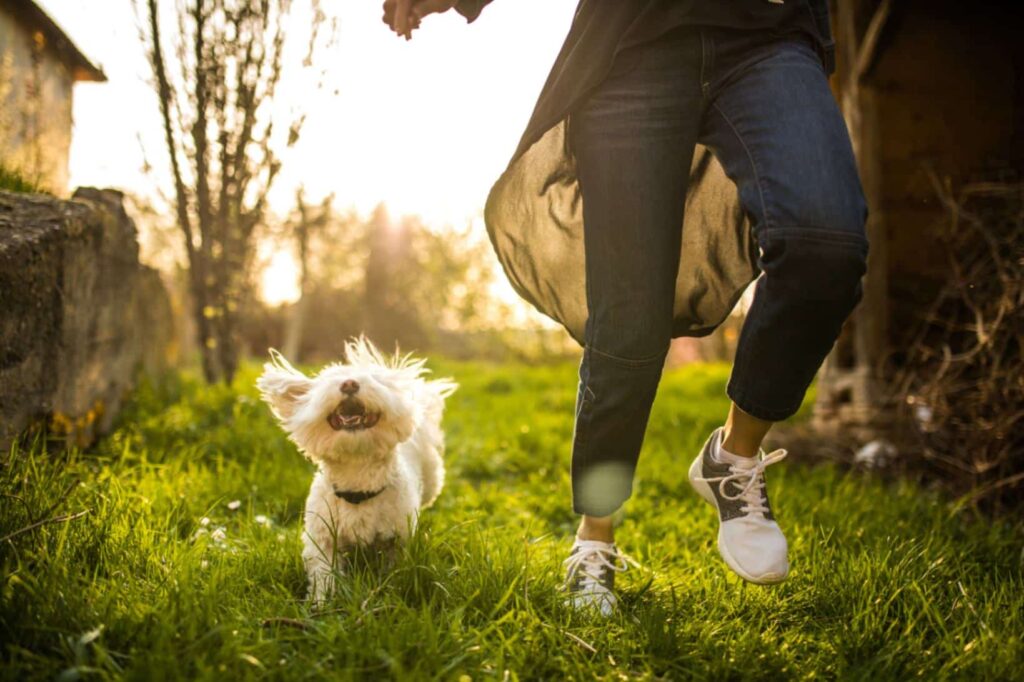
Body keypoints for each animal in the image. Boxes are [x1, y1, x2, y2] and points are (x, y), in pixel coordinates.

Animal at [258, 335, 458, 602]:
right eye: (330, 380)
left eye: (374, 379)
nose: (350, 383)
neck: (358, 483)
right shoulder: (322, 537)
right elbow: (323, 572)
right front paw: (321, 602)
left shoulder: (397, 539)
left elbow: (393, 570)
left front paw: (387, 592)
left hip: (431, 481)